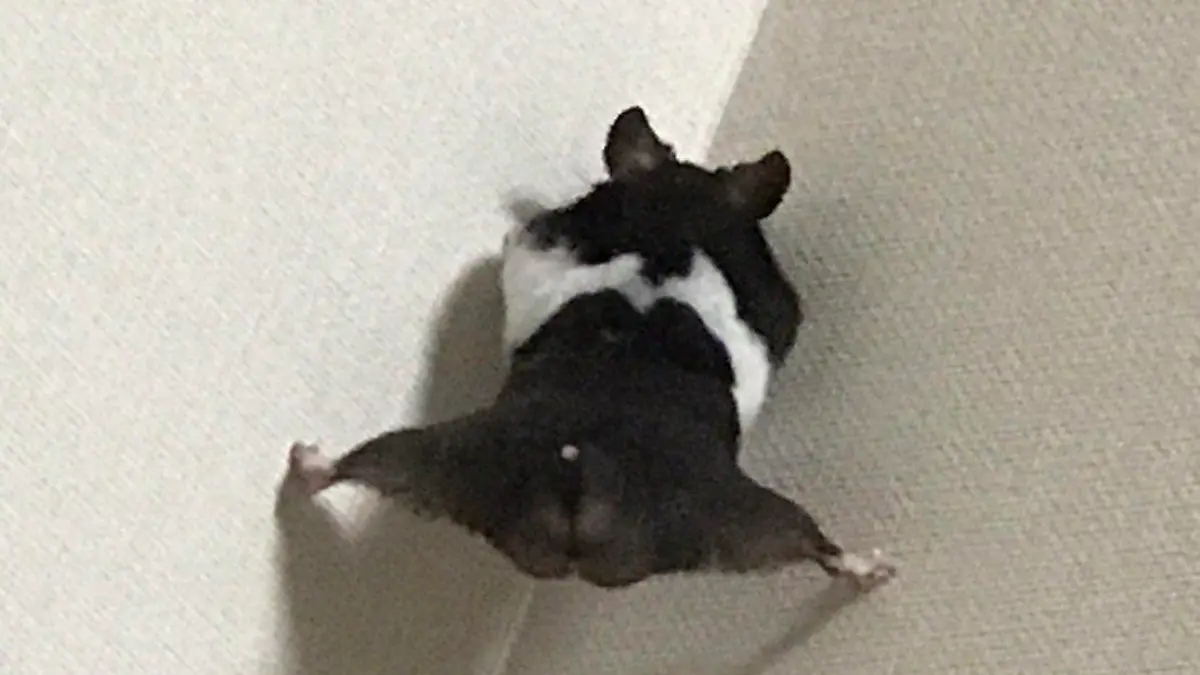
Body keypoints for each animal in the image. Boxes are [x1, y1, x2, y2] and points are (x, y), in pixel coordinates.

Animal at [286, 106, 895, 591]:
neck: (676, 213)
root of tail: (584, 468)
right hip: (738, 514)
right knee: (817, 546)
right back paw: (875, 566)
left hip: (436, 459)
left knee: (353, 465)